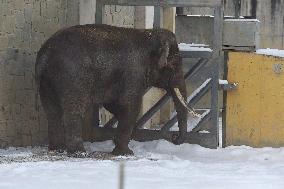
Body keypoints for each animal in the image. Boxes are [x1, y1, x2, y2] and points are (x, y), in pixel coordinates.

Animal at [35, 24, 197, 155]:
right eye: (174, 66)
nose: (174, 138)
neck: (148, 33)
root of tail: (46, 53)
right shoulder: (133, 73)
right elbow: (131, 106)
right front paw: (126, 153)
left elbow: (113, 104)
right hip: (72, 78)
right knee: (73, 111)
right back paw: (78, 153)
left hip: (45, 81)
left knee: (51, 111)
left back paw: (58, 149)